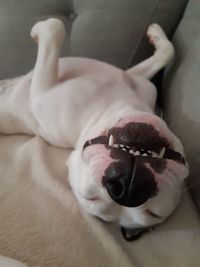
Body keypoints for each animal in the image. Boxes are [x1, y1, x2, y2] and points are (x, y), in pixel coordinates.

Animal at [0, 18, 188, 241]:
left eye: (154, 213)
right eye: (91, 198)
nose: (127, 190)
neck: (115, 103)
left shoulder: (41, 91)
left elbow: (55, 28)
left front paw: (40, 29)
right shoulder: (134, 77)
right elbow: (168, 52)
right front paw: (156, 34)